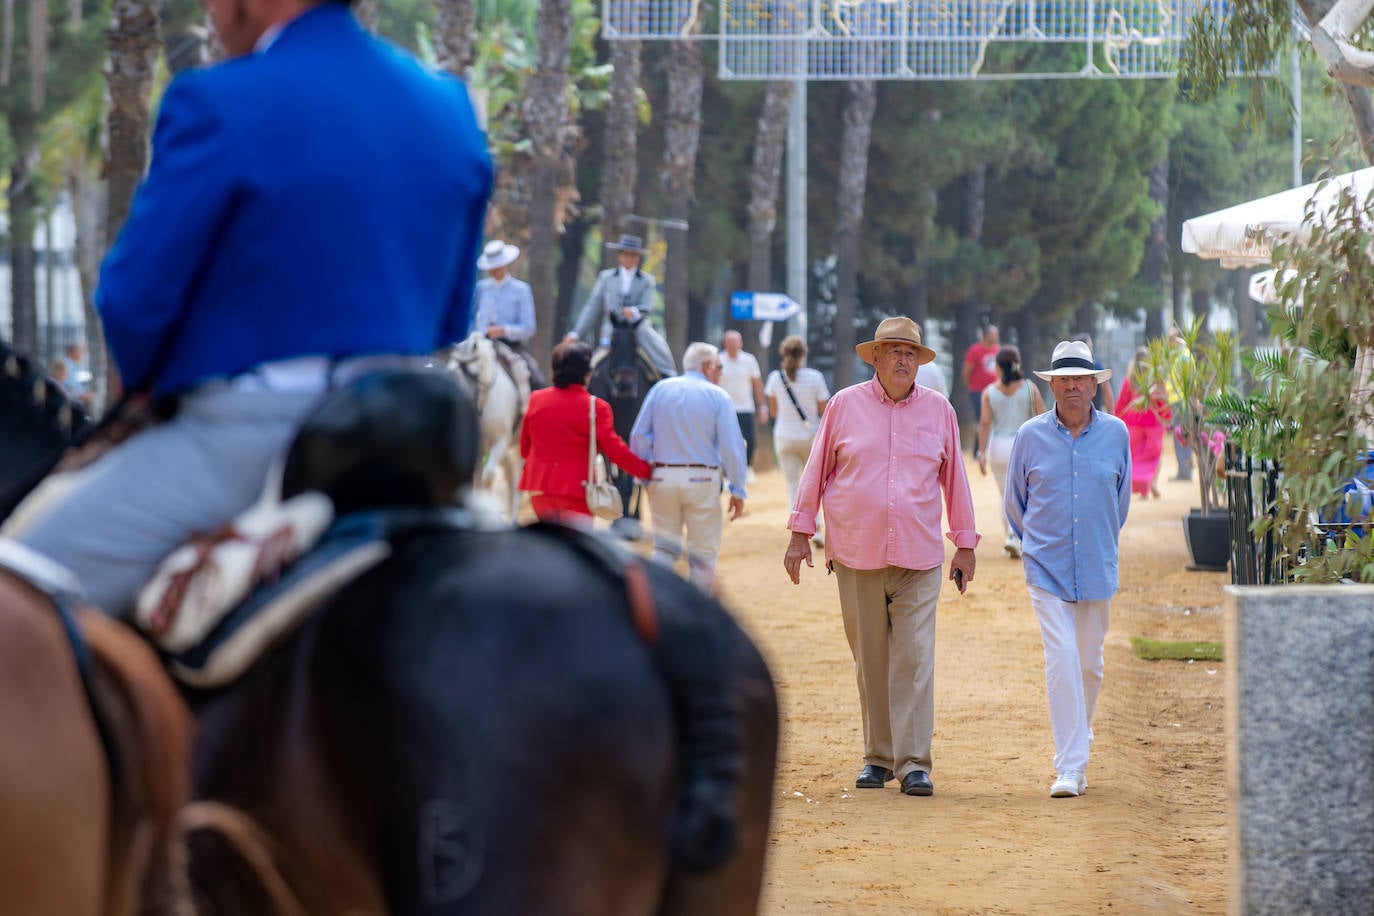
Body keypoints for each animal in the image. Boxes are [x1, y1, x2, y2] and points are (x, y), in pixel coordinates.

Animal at [445, 335, 524, 521]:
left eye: (465, 372)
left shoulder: (501, 441)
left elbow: (486, 478)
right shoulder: (478, 450)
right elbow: (475, 480)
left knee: (517, 478)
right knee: (509, 475)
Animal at [585, 315, 670, 532]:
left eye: (635, 344)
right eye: (613, 342)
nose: (624, 383)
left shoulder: (633, 435)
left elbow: (632, 479)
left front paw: (630, 520)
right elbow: (616, 477)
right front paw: (619, 517)